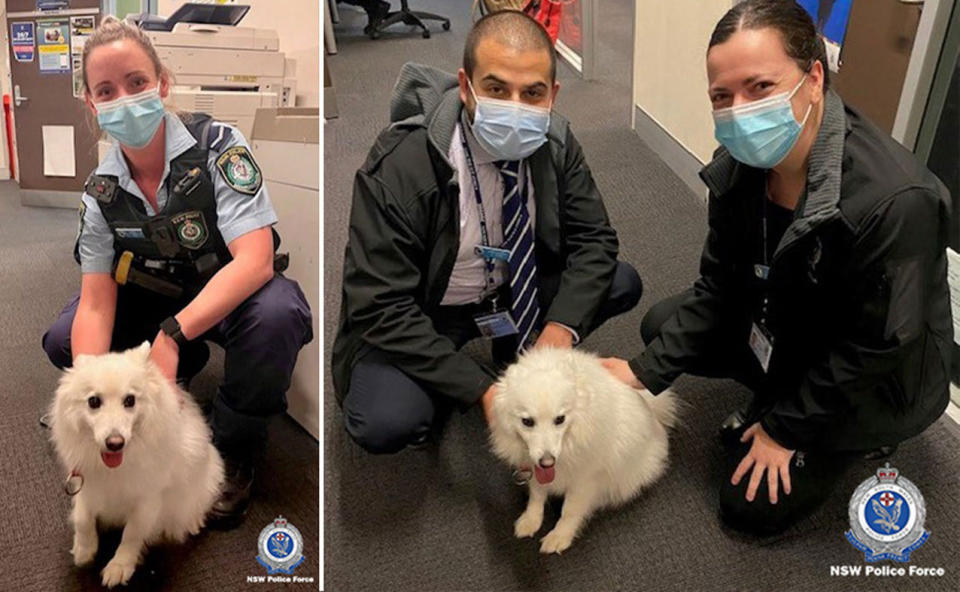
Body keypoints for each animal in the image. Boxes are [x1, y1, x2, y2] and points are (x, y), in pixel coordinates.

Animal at [49, 342, 224, 588]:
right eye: (93, 401)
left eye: (130, 400)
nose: (115, 443)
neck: (114, 469)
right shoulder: (86, 485)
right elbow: (83, 519)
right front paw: (85, 550)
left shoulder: (147, 500)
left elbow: (131, 535)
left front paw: (119, 567)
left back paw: (193, 521)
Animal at [492, 346, 680, 556]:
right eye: (527, 421)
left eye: (560, 419)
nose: (547, 462)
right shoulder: (534, 470)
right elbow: (537, 496)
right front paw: (530, 520)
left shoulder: (585, 479)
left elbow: (569, 511)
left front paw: (560, 537)